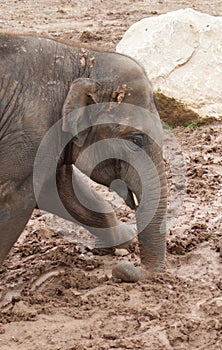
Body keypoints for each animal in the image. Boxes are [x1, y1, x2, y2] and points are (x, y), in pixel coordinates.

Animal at [0, 32, 166, 278]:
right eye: (136, 140)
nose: (122, 269)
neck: (82, 58)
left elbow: (59, 189)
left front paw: (125, 239)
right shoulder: (25, 137)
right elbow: (15, 201)